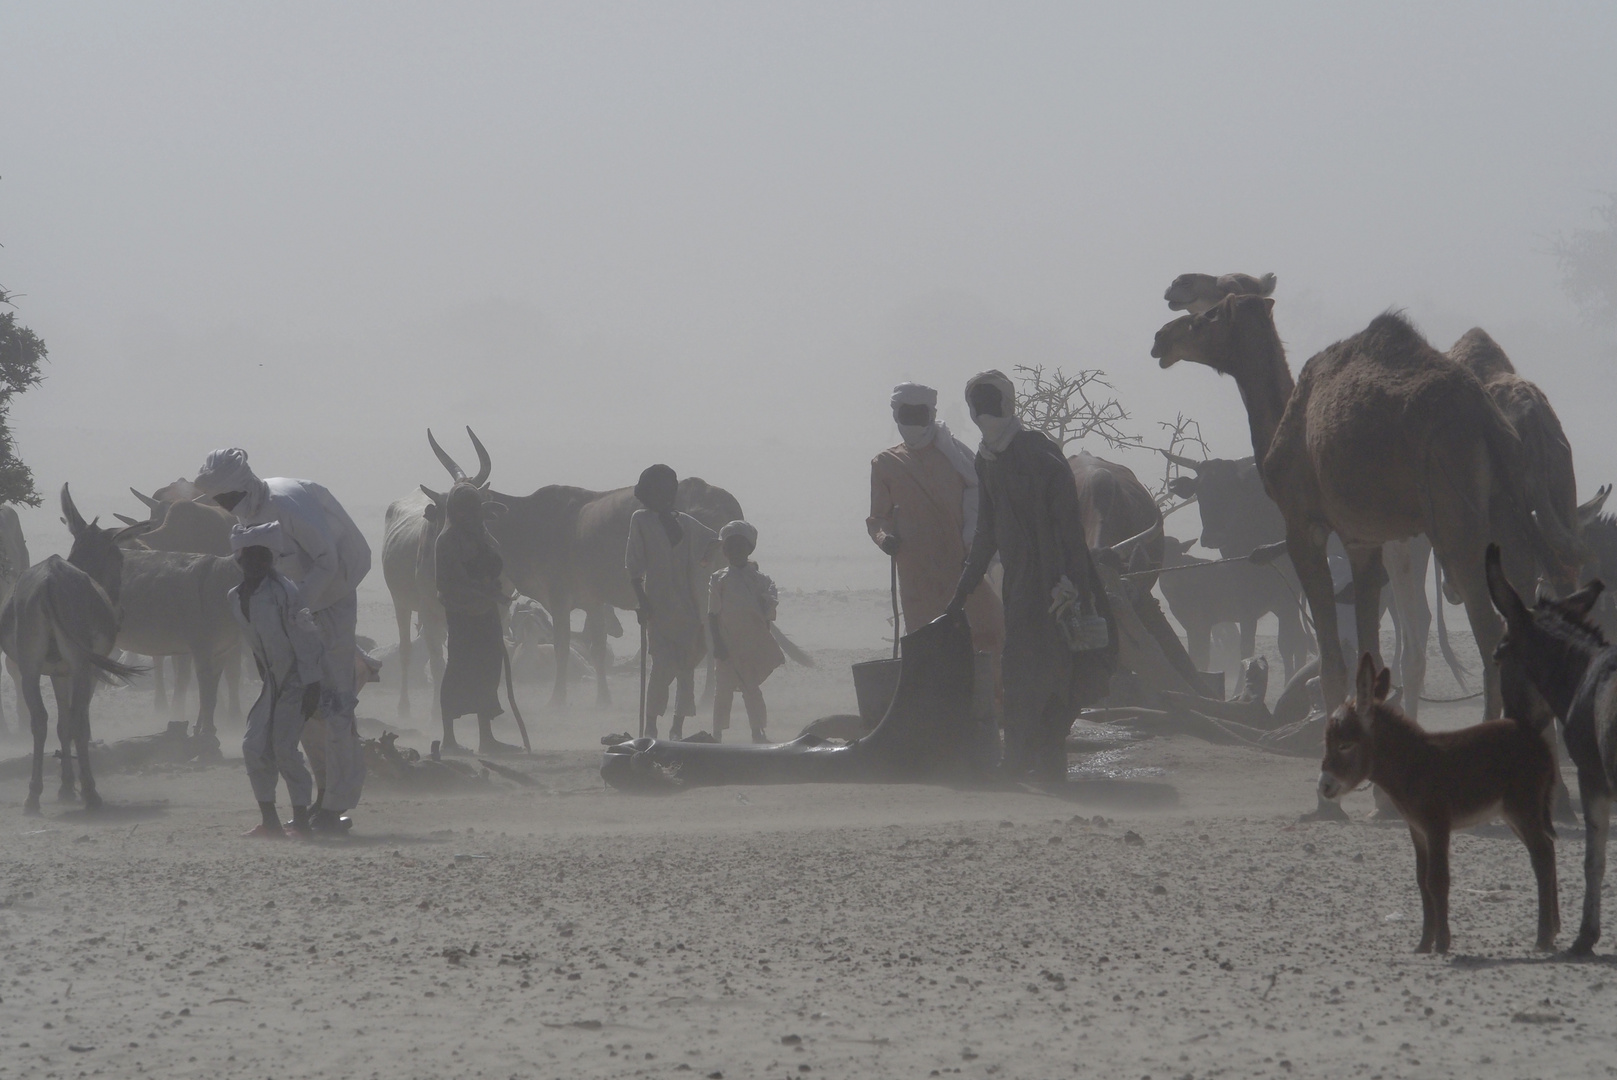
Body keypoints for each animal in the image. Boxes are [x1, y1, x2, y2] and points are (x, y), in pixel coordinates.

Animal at [1157, 295, 1584, 717]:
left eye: (1208, 315)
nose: (1162, 338)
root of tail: (1490, 420)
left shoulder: (1304, 527)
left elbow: (1332, 663)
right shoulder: (1362, 540)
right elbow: (1369, 654)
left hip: (1456, 516)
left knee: (1489, 630)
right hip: (1507, 510)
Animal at [1319, 653, 1558, 950]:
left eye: (1344, 745)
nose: (1323, 786)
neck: (1411, 764)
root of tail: (1538, 741)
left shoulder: (1437, 827)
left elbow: (1438, 880)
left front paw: (1442, 943)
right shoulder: (1418, 830)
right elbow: (1422, 881)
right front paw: (1424, 944)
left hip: (1523, 808)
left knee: (1542, 856)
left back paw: (1543, 937)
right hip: (1514, 813)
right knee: (1548, 849)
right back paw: (1554, 930)